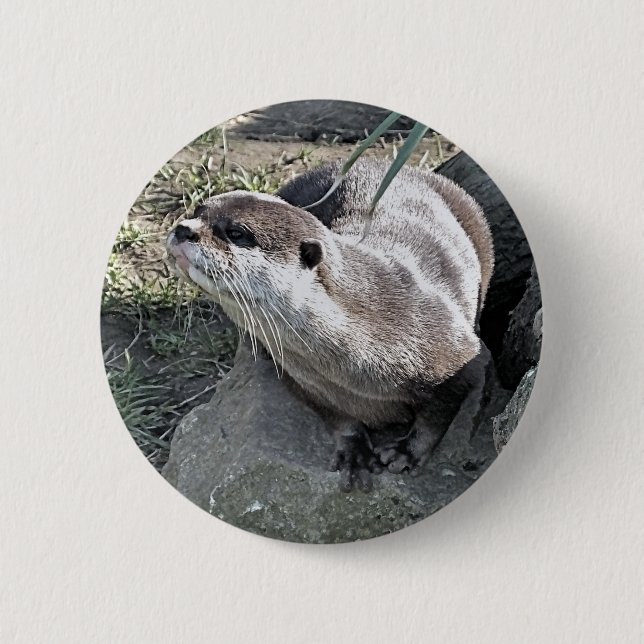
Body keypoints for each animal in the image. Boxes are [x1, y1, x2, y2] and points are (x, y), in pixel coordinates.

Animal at [166, 159, 494, 491]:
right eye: (197, 210)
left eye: (236, 232)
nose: (183, 229)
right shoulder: (302, 380)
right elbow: (335, 415)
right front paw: (354, 451)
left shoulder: (456, 352)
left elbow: (441, 411)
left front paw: (407, 452)